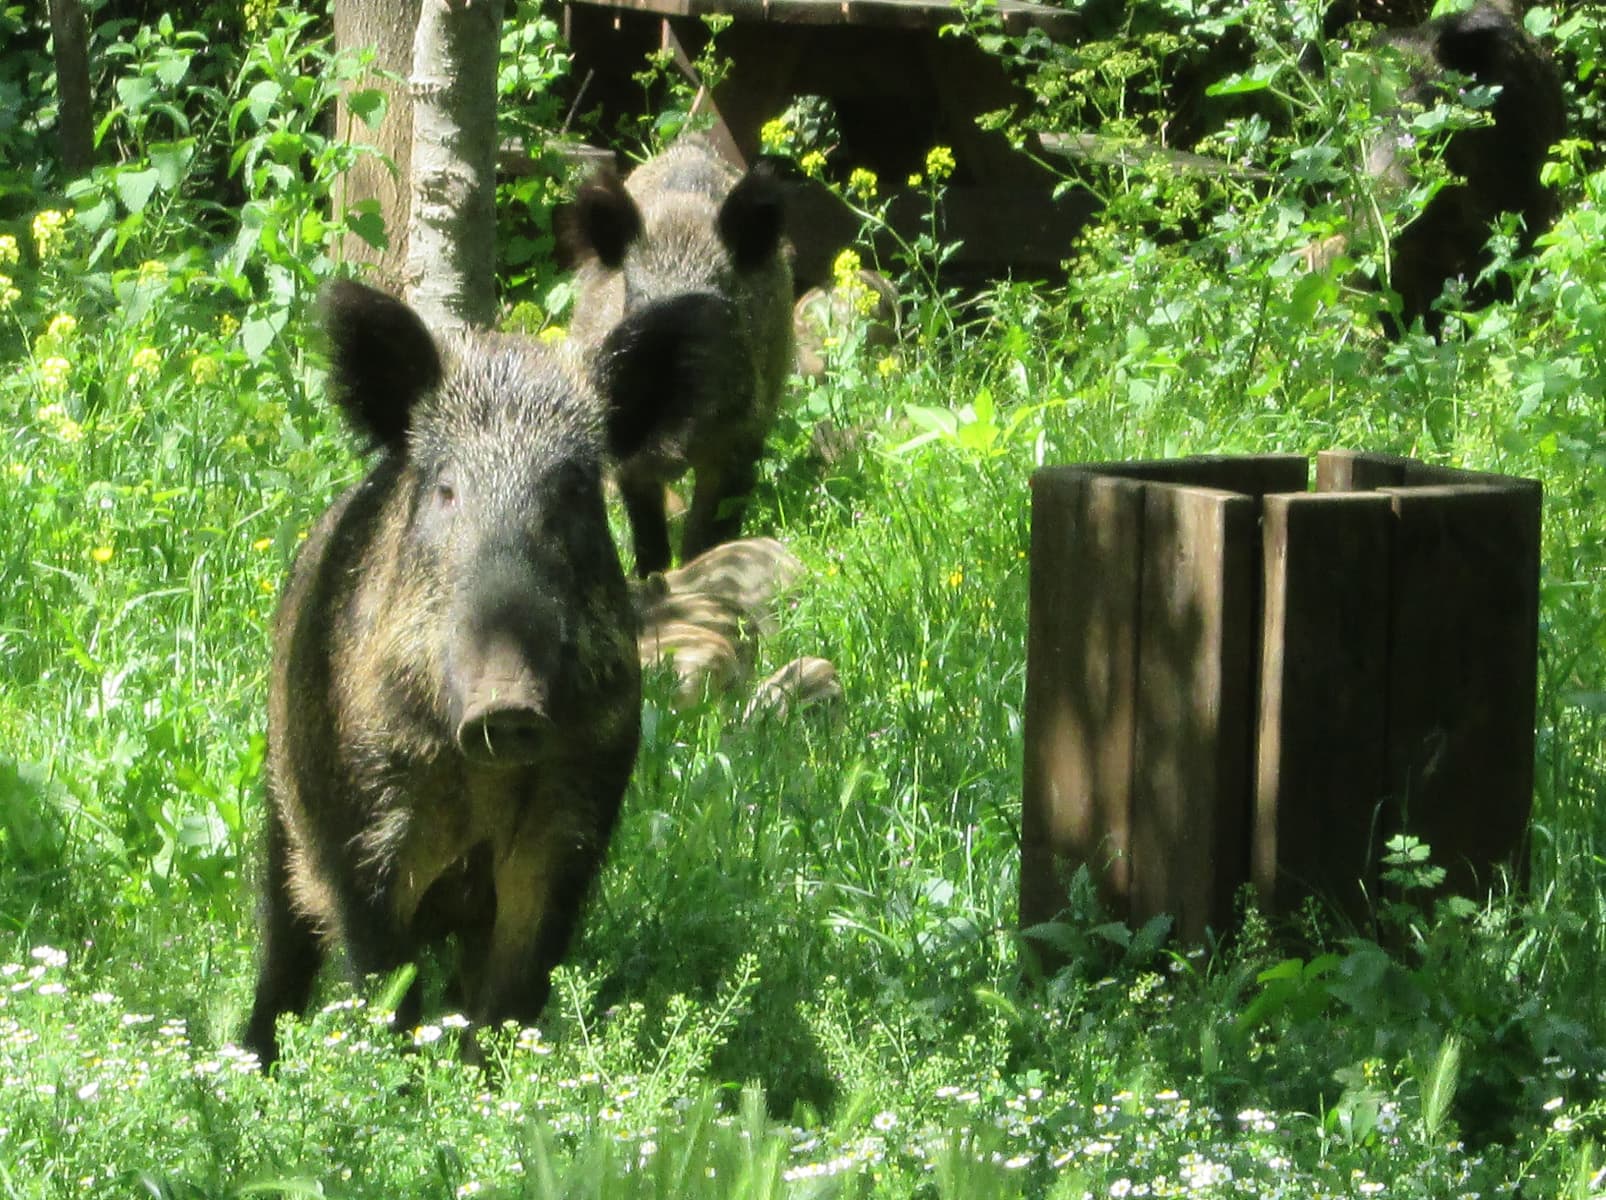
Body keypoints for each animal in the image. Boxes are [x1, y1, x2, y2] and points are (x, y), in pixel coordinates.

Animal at [243, 279, 695, 1069]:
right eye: (447, 490)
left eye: (575, 490)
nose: (506, 704)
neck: (479, 784)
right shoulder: (361, 831)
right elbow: (386, 988)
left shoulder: (572, 823)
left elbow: (511, 997)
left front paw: (487, 1083)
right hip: (279, 799)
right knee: (284, 947)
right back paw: (251, 1063)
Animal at [565, 137, 794, 576]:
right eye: (633, 301)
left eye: (719, 305)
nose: (661, 445)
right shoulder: (627, 463)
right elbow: (648, 536)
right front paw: (649, 577)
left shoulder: (743, 440)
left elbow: (707, 534)